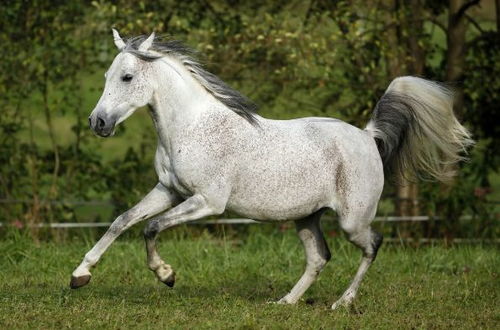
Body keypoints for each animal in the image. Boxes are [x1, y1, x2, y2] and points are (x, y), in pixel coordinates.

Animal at [70, 31, 472, 310]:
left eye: (126, 77)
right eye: (105, 75)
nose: (98, 122)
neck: (192, 127)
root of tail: (367, 136)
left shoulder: (207, 202)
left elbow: (151, 227)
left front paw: (166, 275)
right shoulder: (168, 190)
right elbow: (122, 221)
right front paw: (80, 275)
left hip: (352, 220)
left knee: (373, 244)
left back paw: (342, 303)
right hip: (306, 217)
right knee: (319, 257)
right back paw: (285, 302)